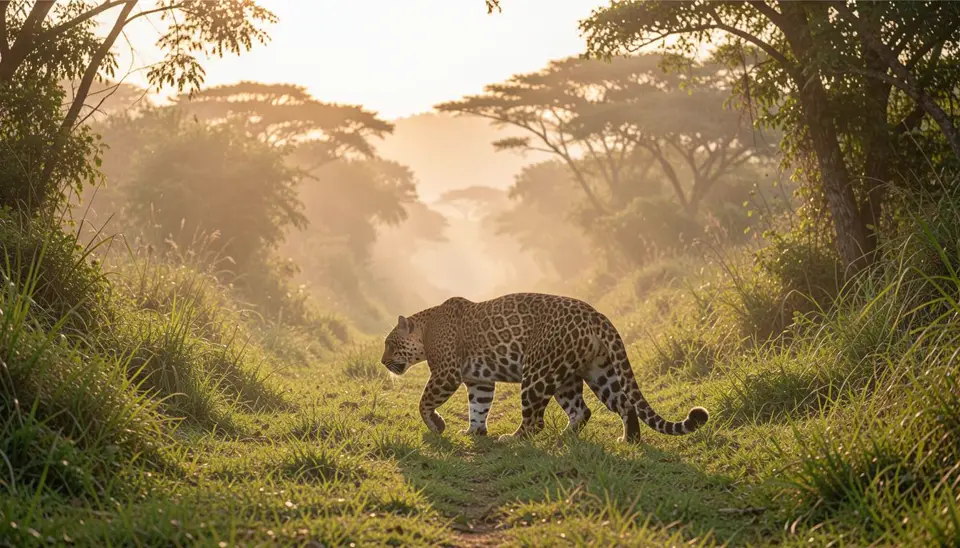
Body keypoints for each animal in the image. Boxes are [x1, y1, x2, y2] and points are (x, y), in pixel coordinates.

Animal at [379, 292, 709, 442]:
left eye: (390, 343)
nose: (382, 362)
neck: (425, 330)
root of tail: (597, 315)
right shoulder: (479, 381)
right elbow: (479, 406)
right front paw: (474, 431)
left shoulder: (446, 373)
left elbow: (424, 402)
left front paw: (437, 425)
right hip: (593, 372)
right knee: (607, 407)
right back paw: (621, 440)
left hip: (537, 373)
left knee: (535, 422)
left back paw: (512, 439)